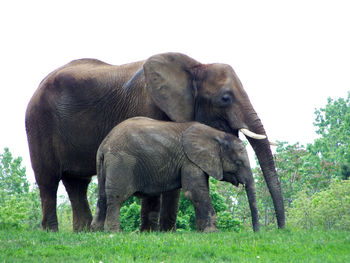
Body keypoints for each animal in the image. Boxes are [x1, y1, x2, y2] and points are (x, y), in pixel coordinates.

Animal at [91, 117, 258, 233]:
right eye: (238, 162)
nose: (256, 232)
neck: (216, 135)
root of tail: (104, 145)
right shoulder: (189, 161)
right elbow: (195, 192)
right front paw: (212, 232)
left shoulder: (196, 161)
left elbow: (199, 191)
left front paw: (201, 231)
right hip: (121, 163)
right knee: (116, 198)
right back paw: (114, 232)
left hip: (106, 165)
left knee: (102, 196)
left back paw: (97, 231)